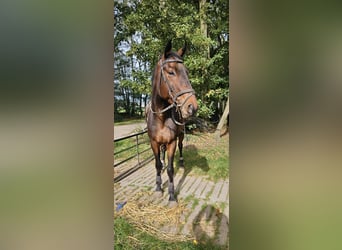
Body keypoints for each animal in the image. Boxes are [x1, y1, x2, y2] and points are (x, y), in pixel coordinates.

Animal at [146, 40, 199, 202]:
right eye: (171, 72)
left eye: (187, 72)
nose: (192, 107)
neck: (161, 117)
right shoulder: (154, 142)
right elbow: (157, 164)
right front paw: (158, 188)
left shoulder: (172, 142)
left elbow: (171, 169)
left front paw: (171, 196)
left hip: (180, 135)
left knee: (181, 146)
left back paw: (181, 162)